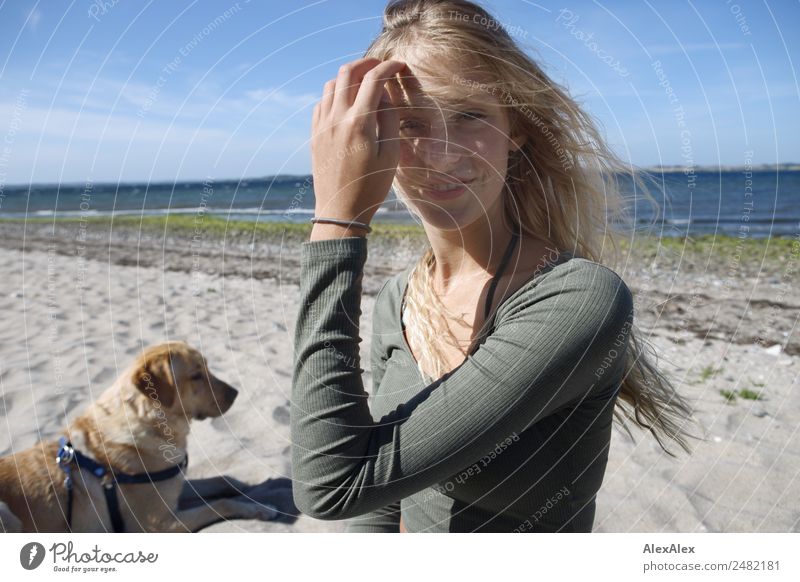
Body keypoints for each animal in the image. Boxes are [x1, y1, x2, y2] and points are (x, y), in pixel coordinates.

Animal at [0, 340, 276, 536]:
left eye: (207, 367)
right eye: (196, 375)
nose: (236, 393)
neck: (151, 423)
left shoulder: (174, 485)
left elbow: (221, 480)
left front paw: (247, 488)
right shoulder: (158, 524)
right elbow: (223, 504)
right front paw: (260, 508)